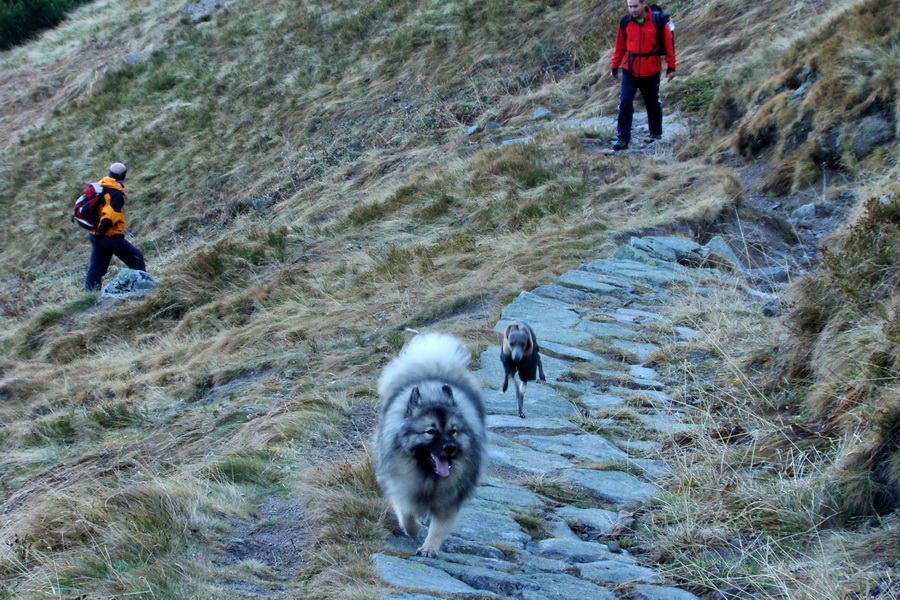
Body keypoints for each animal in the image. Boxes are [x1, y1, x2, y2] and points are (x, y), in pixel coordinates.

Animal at [372, 332, 486, 556]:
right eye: (431, 431)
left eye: (453, 431)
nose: (450, 448)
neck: (428, 476)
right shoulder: (401, 487)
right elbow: (406, 514)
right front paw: (413, 530)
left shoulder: (449, 499)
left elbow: (439, 526)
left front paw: (429, 548)